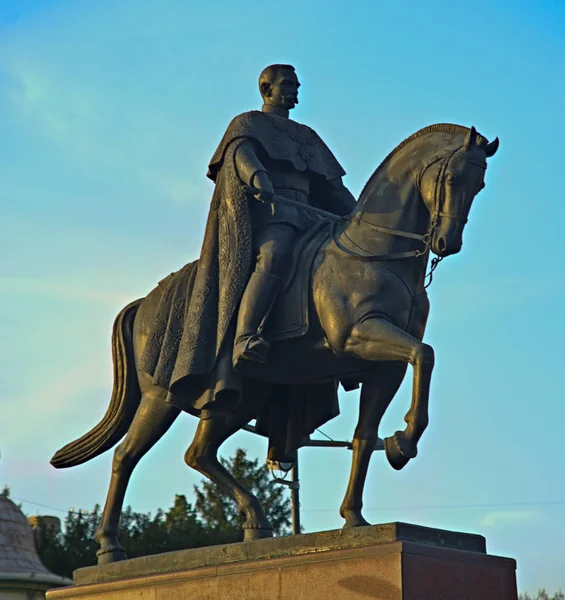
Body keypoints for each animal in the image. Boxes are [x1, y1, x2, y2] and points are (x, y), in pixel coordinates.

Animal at [49, 122, 498, 564]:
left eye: (480, 184)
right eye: (453, 177)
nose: (447, 243)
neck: (377, 253)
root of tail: (145, 302)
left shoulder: (385, 366)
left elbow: (368, 430)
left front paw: (360, 508)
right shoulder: (358, 335)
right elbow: (425, 355)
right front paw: (402, 443)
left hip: (239, 396)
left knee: (199, 453)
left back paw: (255, 523)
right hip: (162, 395)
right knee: (126, 456)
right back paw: (110, 549)